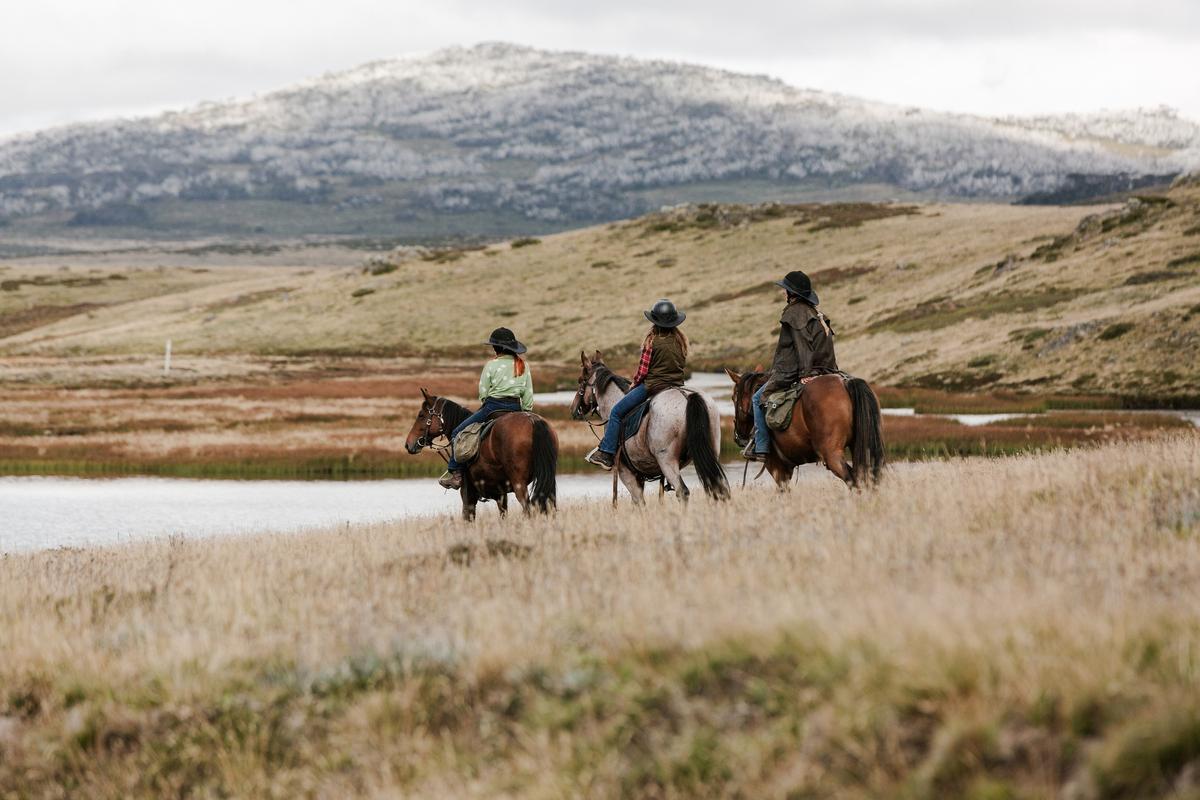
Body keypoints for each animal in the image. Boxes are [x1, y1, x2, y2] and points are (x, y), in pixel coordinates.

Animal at [400, 388, 554, 525]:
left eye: (421, 415)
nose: (408, 444)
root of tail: (533, 421)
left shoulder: (468, 494)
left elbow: (468, 518)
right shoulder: (501, 494)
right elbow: (503, 515)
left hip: (519, 484)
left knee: (527, 509)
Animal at [573, 352, 729, 503]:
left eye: (581, 380)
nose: (574, 409)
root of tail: (687, 396)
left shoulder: (626, 473)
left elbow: (639, 502)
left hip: (667, 460)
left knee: (683, 491)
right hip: (710, 452)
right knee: (718, 487)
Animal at [720, 371, 883, 491]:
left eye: (734, 398)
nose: (737, 436)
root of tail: (846, 382)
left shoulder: (777, 467)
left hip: (832, 455)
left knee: (853, 481)